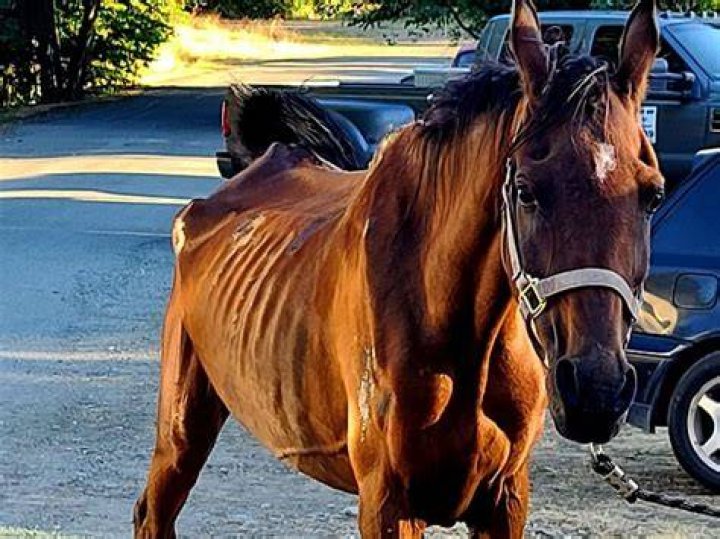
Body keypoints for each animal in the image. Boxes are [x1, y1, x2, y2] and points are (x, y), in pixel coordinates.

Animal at [134, 0, 665, 536]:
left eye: (653, 194)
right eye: (525, 191)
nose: (596, 389)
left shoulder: (506, 499)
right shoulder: (389, 504)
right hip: (181, 432)